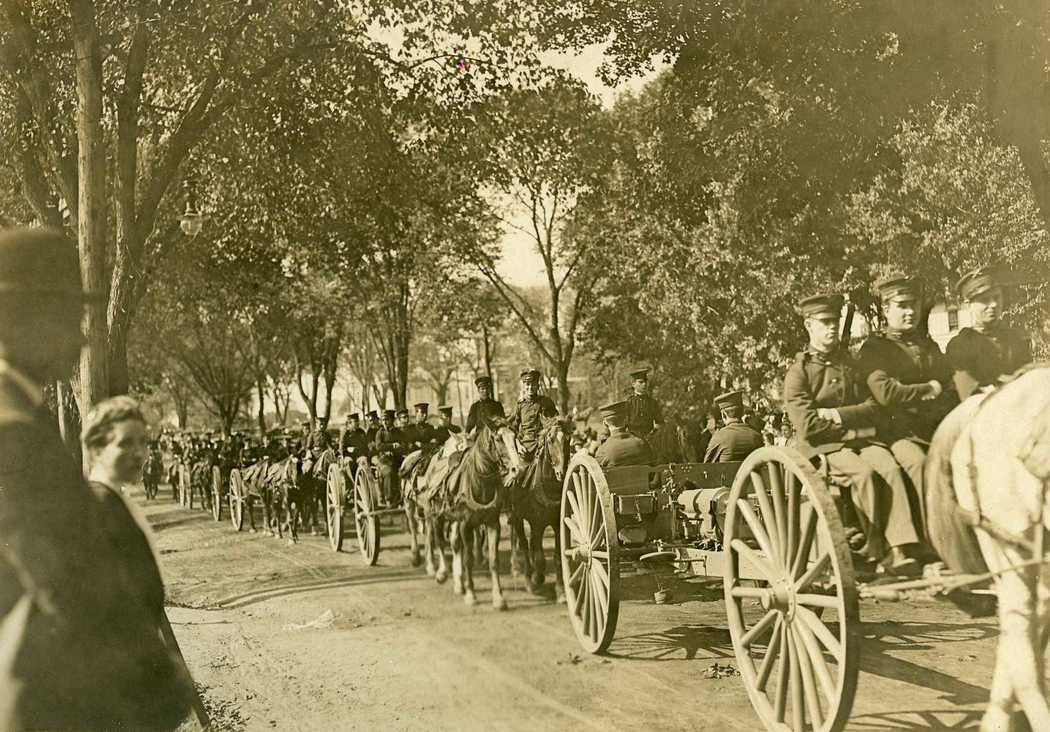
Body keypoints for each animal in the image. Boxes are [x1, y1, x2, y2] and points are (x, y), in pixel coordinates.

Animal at [434, 420, 520, 609]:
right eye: (498, 439)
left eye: (515, 437)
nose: (517, 469)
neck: (478, 482)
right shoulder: (465, 525)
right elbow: (468, 559)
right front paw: (471, 594)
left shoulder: (492, 523)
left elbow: (493, 560)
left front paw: (498, 598)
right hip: (435, 516)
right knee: (439, 541)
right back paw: (442, 573)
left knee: (454, 544)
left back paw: (458, 583)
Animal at [510, 415, 575, 600]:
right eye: (551, 439)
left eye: (568, 439)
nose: (562, 472)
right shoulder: (537, 523)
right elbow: (539, 557)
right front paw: (537, 578)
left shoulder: (557, 524)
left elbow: (558, 557)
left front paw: (560, 590)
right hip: (517, 517)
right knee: (525, 545)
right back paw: (528, 578)